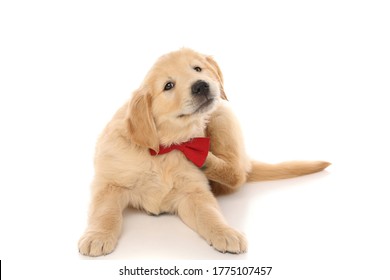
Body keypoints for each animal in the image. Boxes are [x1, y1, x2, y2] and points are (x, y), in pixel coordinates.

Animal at [78, 48, 330, 256]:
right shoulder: (109, 184)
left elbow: (209, 214)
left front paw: (225, 232)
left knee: (237, 173)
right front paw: (97, 236)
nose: (201, 85)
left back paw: (207, 160)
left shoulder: (194, 193)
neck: (169, 147)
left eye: (197, 68)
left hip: (222, 114)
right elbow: (105, 212)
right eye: (168, 85)